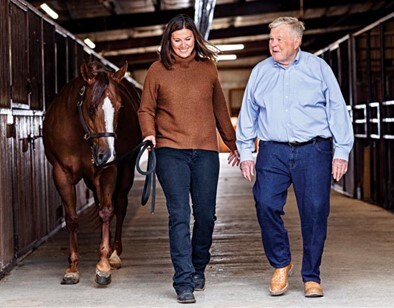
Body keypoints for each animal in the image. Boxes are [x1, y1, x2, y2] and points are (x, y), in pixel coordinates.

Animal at [43, 61, 142, 286]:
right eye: (90, 108)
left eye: (120, 108)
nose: (107, 154)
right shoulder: (61, 174)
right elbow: (72, 219)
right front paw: (72, 268)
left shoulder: (108, 171)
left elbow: (107, 211)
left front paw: (103, 265)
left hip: (126, 169)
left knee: (119, 206)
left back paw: (114, 254)